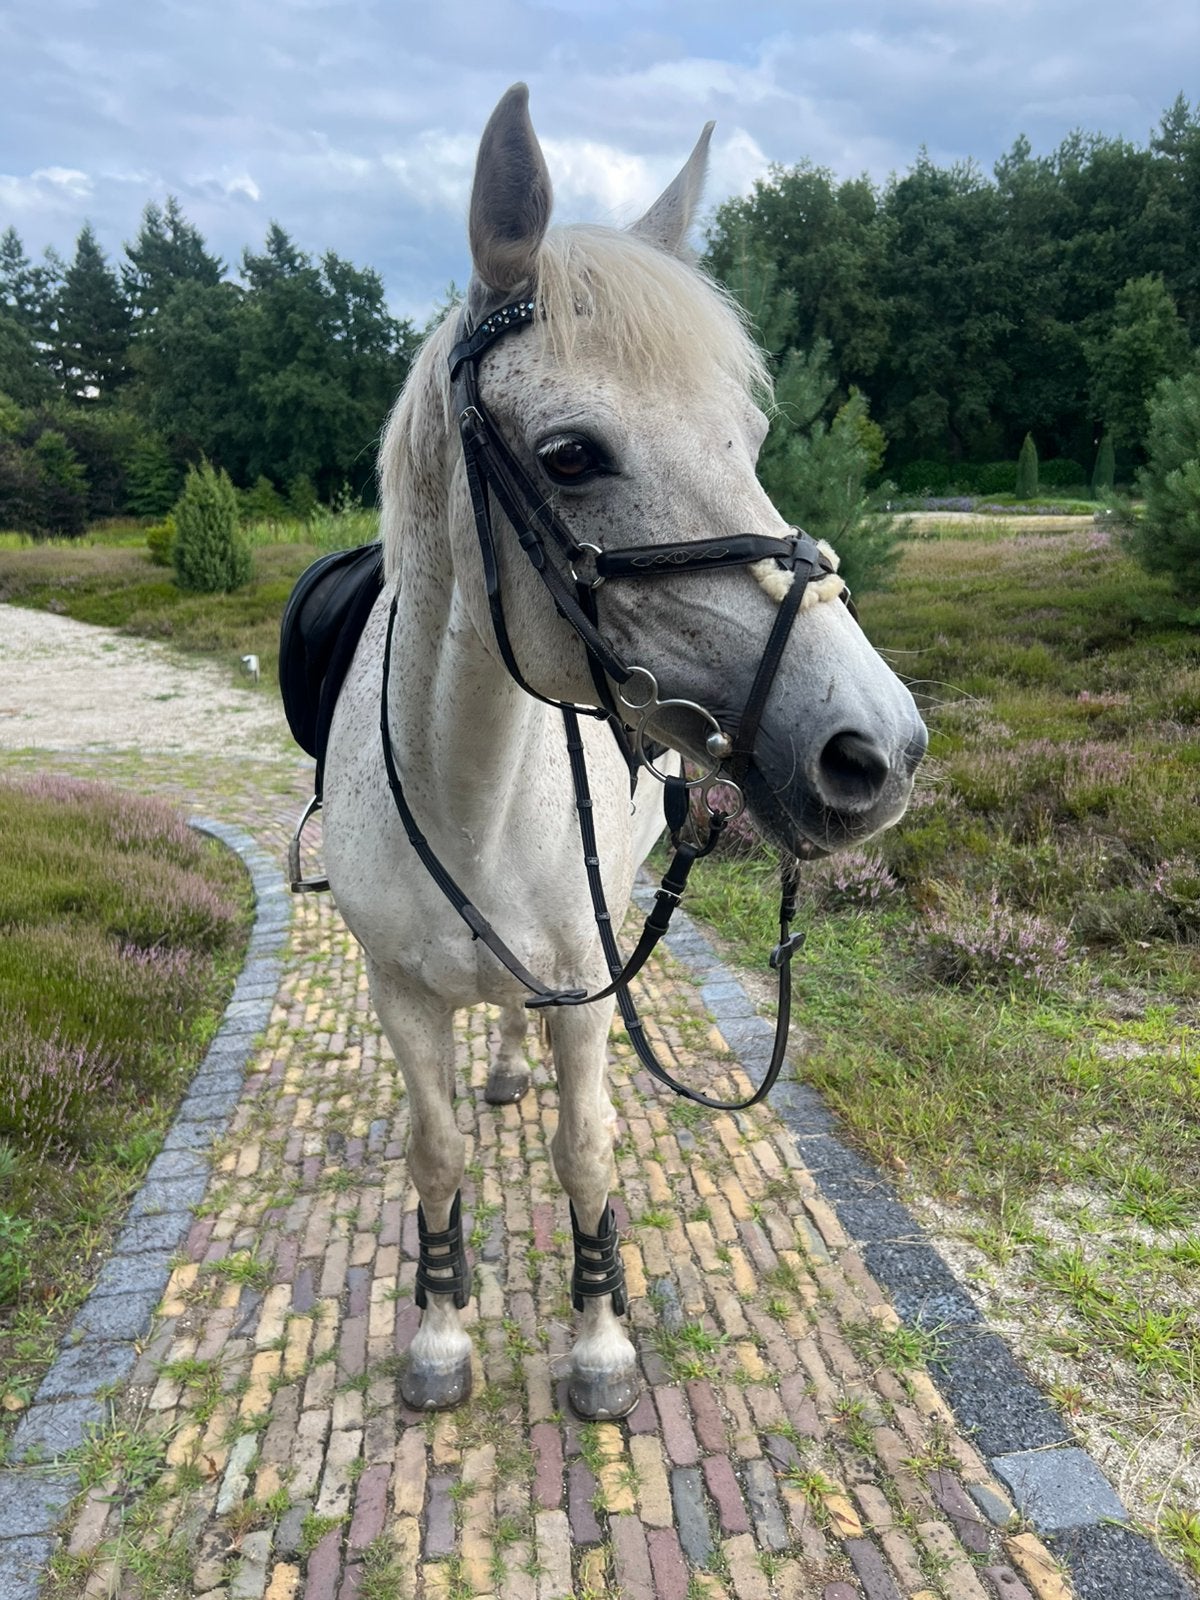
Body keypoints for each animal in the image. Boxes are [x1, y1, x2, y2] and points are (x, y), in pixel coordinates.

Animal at [320, 84, 927, 1421]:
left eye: (748, 435)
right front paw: (439, 1324)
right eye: (570, 456)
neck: (469, 788)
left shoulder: (588, 990)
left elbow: (584, 1152)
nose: (880, 749)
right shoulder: (398, 993)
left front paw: (597, 1341)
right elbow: (436, 1150)